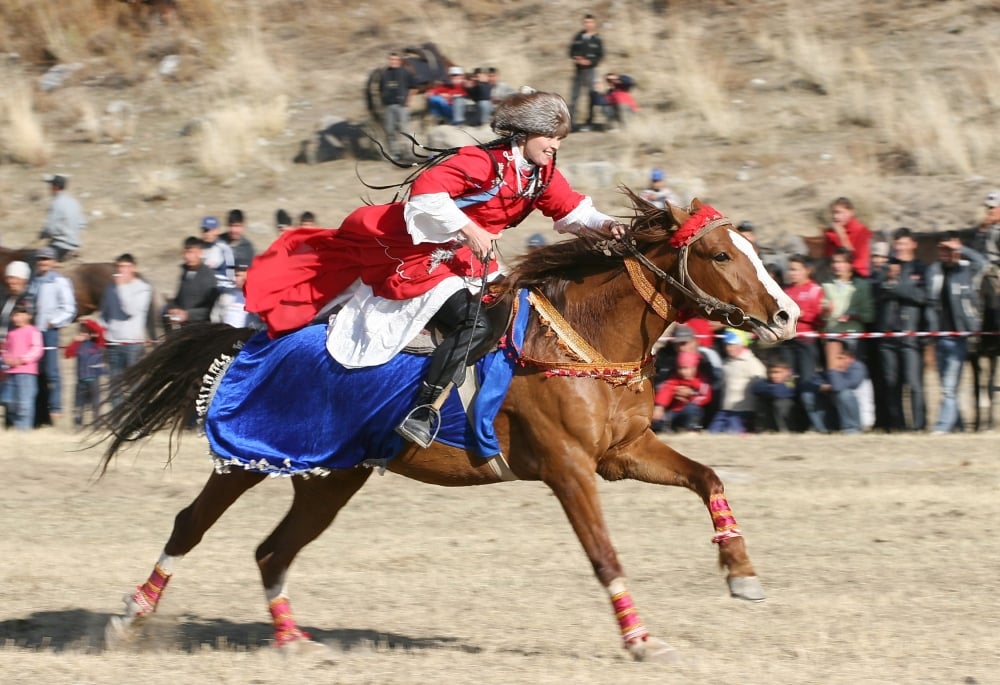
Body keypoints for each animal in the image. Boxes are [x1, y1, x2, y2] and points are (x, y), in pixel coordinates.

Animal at [97, 195, 800, 660]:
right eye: (719, 254)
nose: (788, 314)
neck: (584, 337)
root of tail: (255, 335)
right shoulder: (569, 469)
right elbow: (604, 553)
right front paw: (639, 638)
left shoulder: (623, 453)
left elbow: (708, 478)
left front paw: (741, 572)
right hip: (247, 456)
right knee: (190, 526)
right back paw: (130, 616)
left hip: (330, 478)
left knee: (273, 550)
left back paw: (292, 640)